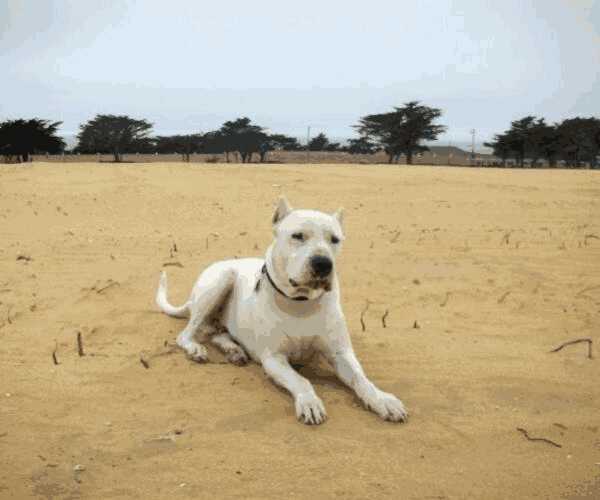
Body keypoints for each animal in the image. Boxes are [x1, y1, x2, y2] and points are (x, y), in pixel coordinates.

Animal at [156, 197, 408, 424]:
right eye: (298, 236)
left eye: (335, 239)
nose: (323, 264)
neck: (301, 303)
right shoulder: (274, 358)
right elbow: (301, 380)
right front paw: (309, 402)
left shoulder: (341, 353)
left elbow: (361, 379)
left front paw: (382, 400)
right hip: (219, 281)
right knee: (187, 333)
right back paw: (196, 348)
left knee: (217, 332)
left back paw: (234, 350)